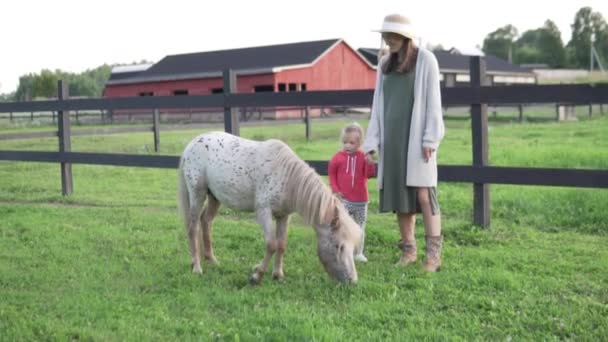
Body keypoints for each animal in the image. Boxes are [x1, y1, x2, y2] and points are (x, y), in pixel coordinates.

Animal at [176, 131, 360, 284]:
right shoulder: (264, 212)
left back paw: (212, 260)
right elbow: (271, 244)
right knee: (193, 227)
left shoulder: (283, 216)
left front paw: (278, 274)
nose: (352, 280)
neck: (287, 177)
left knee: (206, 221)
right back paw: (197, 267)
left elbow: (282, 244)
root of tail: (191, 145)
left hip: (214, 197)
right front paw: (257, 276)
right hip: (197, 194)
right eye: (339, 246)